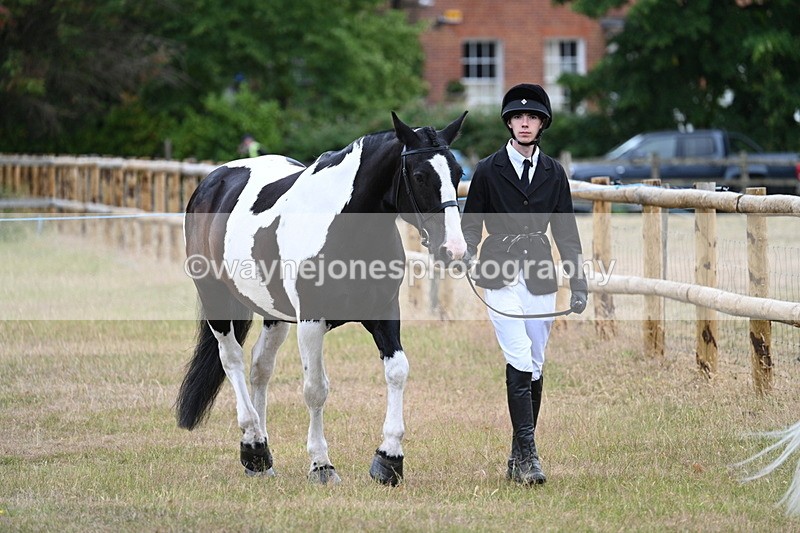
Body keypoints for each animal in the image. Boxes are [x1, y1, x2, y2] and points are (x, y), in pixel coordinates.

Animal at [176, 111, 468, 485]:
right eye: (419, 176)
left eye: (458, 174)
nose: (454, 250)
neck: (346, 229)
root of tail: (214, 180)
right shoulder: (311, 322)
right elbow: (315, 389)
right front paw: (321, 465)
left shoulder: (384, 313)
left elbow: (397, 372)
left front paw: (389, 459)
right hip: (216, 298)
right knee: (233, 361)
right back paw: (253, 445)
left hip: (275, 314)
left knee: (260, 367)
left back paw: (261, 457)